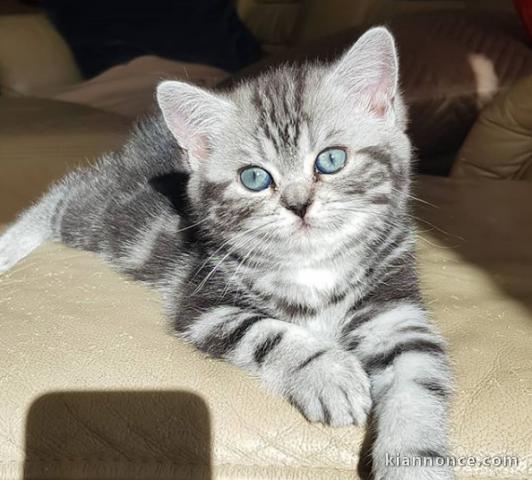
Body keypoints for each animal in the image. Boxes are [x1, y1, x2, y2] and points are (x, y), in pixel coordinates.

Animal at [2, 28, 456, 478]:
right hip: (109, 221)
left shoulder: (395, 310)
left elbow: (419, 381)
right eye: (254, 178)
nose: (298, 205)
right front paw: (329, 375)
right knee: (65, 194)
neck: (314, 266)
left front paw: (415, 460)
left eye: (331, 160)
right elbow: (268, 332)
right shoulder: (205, 302)